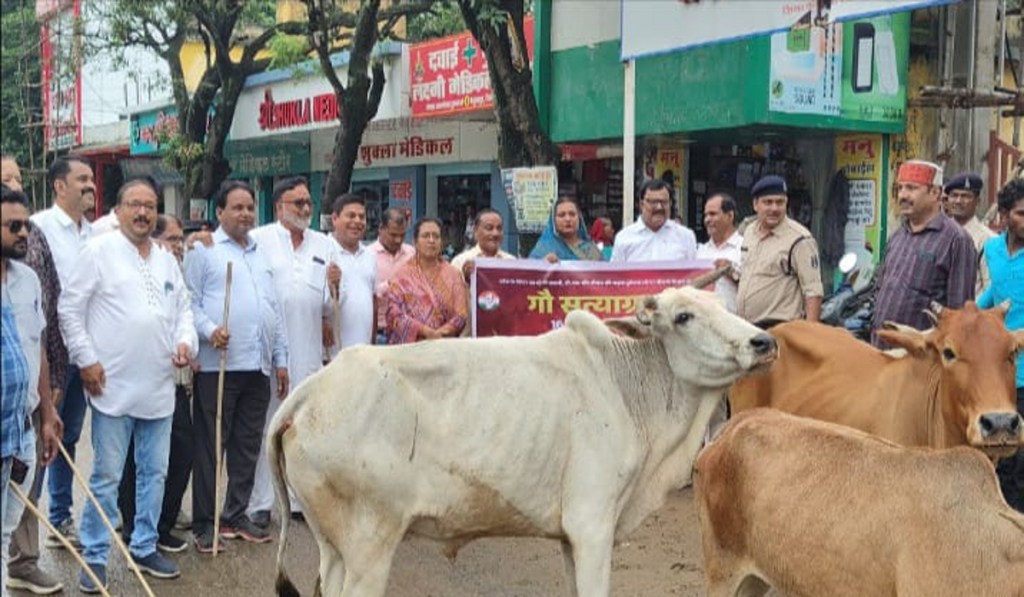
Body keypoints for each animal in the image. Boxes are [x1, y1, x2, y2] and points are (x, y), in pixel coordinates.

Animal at [272, 284, 774, 597]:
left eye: (721, 304)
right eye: (684, 316)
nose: (762, 342)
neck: (624, 385)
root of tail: (310, 391)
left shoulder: (572, 539)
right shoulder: (592, 526)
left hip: (334, 549)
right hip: (369, 545)